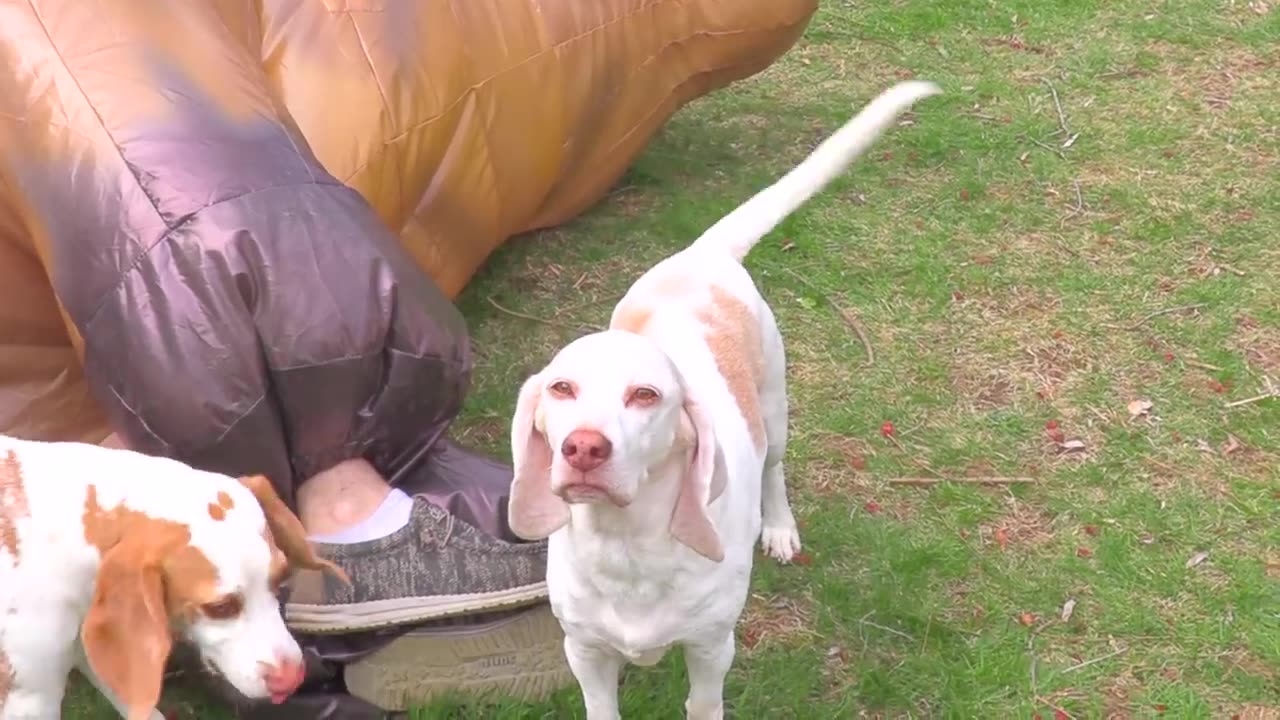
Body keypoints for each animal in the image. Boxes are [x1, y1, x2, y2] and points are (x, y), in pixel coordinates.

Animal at [506, 81, 942, 712]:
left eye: (646, 395)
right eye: (562, 388)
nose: (584, 448)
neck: (627, 548)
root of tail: (701, 257)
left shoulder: (712, 649)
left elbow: (703, 703)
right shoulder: (584, 652)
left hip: (774, 410)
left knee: (774, 470)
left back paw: (780, 527)